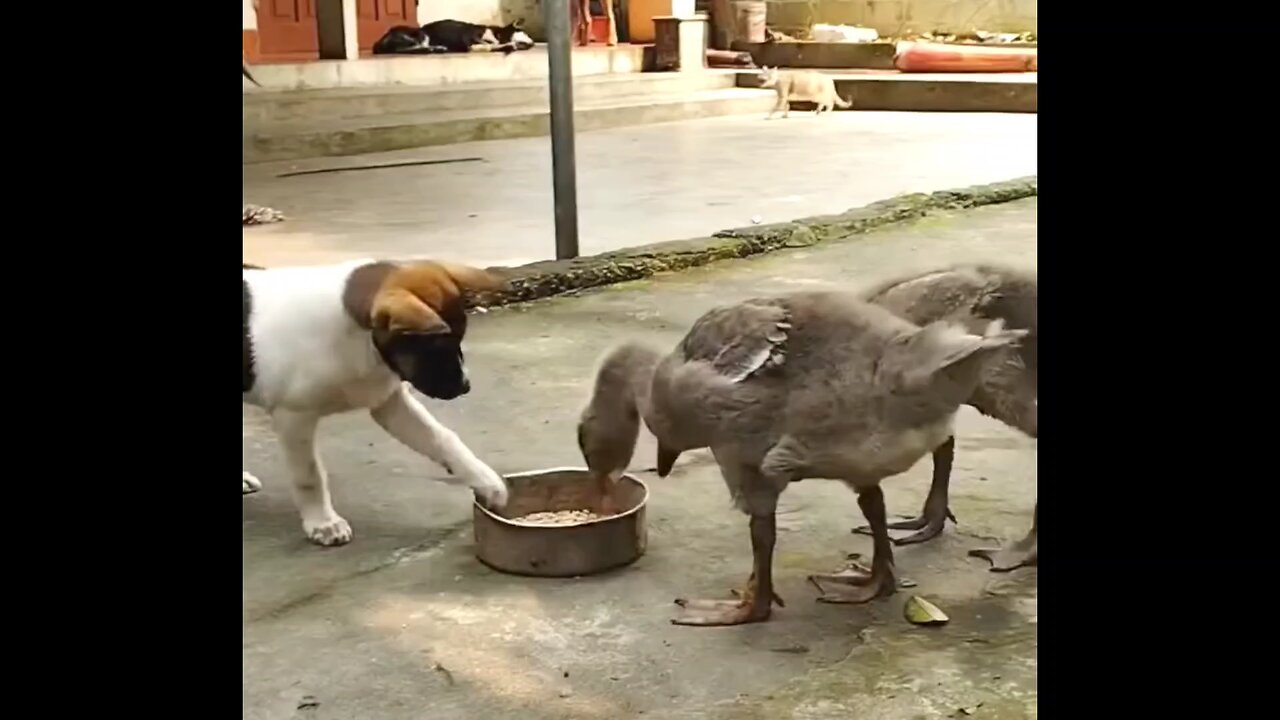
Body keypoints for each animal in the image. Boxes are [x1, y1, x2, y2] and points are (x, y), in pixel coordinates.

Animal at [243, 257, 509, 543]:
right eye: (435, 346)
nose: (466, 386)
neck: (357, 340)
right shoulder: (293, 417)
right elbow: (309, 474)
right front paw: (324, 522)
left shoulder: (390, 404)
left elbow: (444, 440)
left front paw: (486, 481)